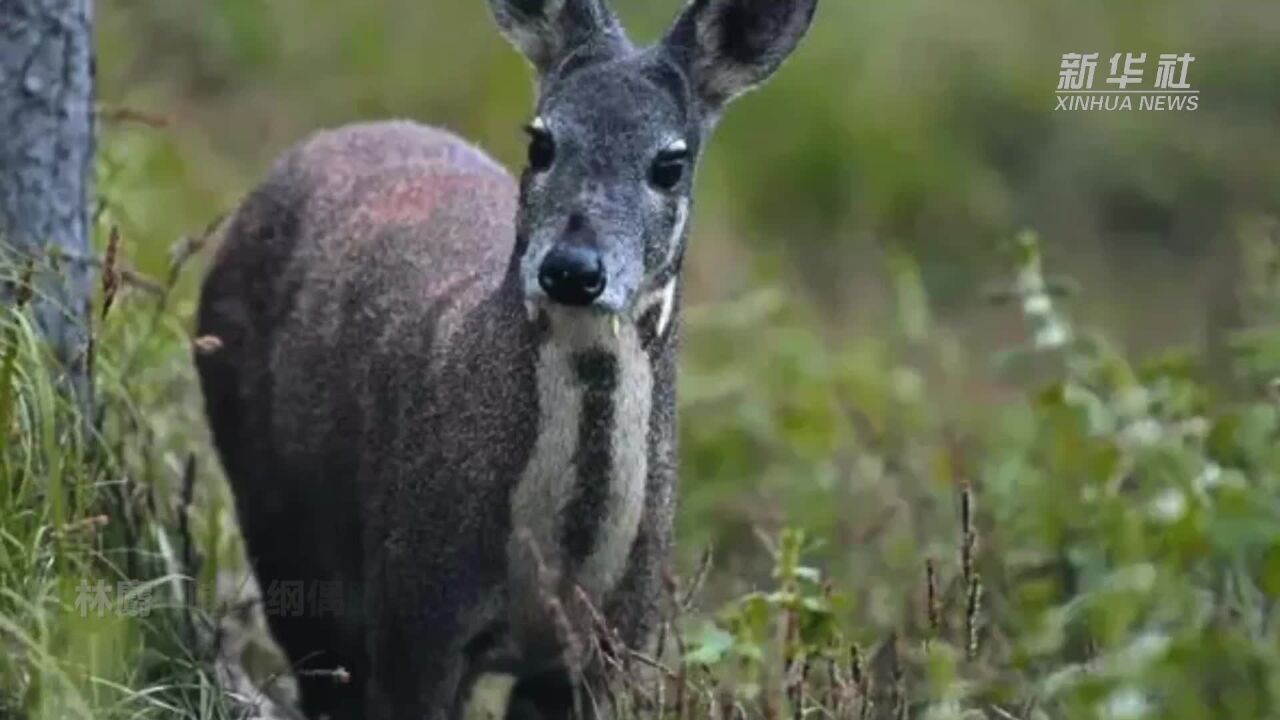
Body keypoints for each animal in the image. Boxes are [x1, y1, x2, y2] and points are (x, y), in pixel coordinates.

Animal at [194, 0, 814, 712]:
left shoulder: (615, 645)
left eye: (670, 163)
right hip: (278, 520)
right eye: (541, 142)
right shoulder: (416, 606)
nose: (573, 268)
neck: (559, 565)